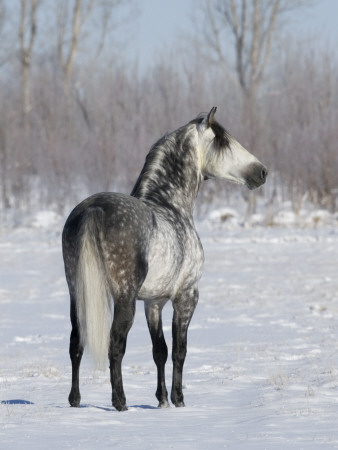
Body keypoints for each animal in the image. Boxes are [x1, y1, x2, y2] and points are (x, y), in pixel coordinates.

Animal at [61, 107, 266, 410]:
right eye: (223, 141)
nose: (261, 171)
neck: (170, 205)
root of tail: (93, 209)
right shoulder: (186, 296)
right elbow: (180, 350)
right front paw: (178, 399)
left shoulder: (154, 302)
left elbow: (160, 350)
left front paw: (162, 400)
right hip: (123, 298)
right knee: (115, 345)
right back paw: (120, 401)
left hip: (76, 293)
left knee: (77, 342)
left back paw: (75, 400)